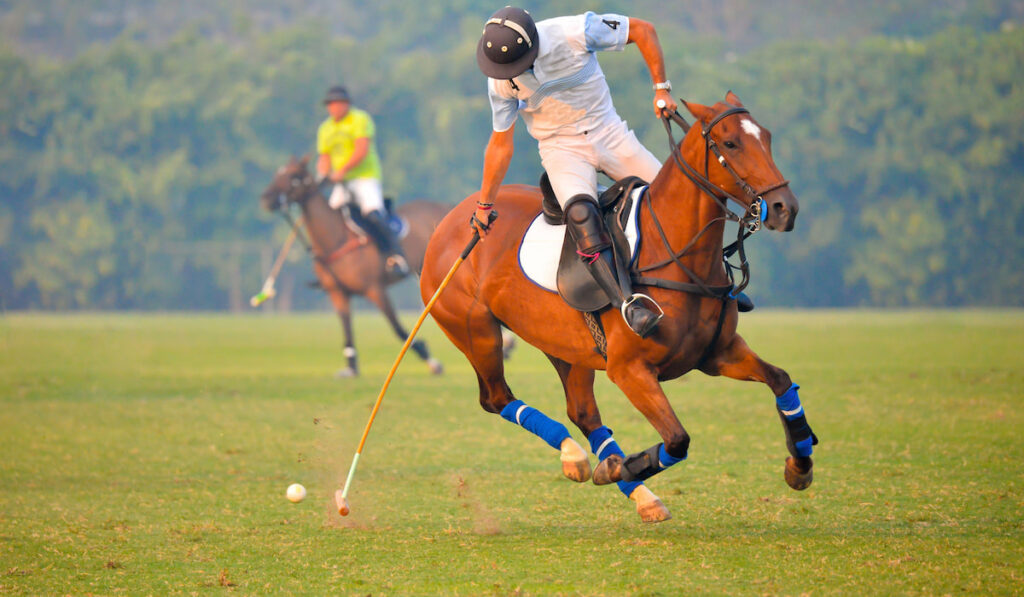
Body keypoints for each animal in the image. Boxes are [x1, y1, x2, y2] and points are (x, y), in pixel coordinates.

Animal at [264, 155, 452, 378]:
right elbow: (347, 330)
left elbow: (398, 328)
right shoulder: (337, 293)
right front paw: (351, 368)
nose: (266, 198)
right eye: (278, 172)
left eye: (294, 176)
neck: (335, 239)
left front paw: (432, 362)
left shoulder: (375, 289)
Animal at [417, 92, 815, 524]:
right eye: (730, 143)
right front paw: (621, 467)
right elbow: (677, 439)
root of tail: (454, 219)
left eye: (767, 137)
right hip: (476, 331)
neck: (676, 256)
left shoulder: (718, 354)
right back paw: (581, 456)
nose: (784, 208)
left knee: (581, 411)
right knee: (497, 398)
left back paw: (630, 487)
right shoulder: (629, 370)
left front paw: (800, 464)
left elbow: (780, 380)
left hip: (564, 345)